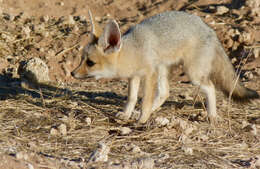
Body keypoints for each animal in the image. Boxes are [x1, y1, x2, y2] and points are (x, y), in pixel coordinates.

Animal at [70, 10, 258, 124]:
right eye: (81, 59)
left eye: (90, 63)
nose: (72, 73)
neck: (134, 49)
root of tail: (209, 29)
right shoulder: (134, 76)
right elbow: (132, 98)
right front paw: (128, 113)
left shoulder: (149, 74)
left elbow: (145, 100)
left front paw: (142, 119)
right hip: (163, 69)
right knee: (164, 93)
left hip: (192, 74)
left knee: (210, 88)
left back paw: (212, 115)